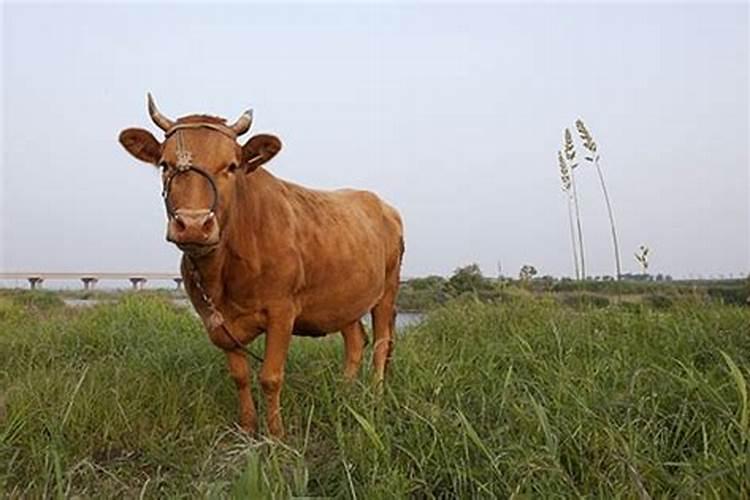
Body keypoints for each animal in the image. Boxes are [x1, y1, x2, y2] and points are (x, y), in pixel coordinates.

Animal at [119, 94, 406, 438]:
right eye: (165, 165)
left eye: (231, 166)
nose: (193, 225)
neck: (223, 273)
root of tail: (382, 205)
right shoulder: (215, 320)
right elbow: (240, 376)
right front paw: (247, 426)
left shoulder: (282, 310)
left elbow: (270, 377)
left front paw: (275, 434)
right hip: (344, 299)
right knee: (355, 343)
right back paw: (344, 394)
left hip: (387, 289)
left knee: (381, 344)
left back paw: (374, 397)